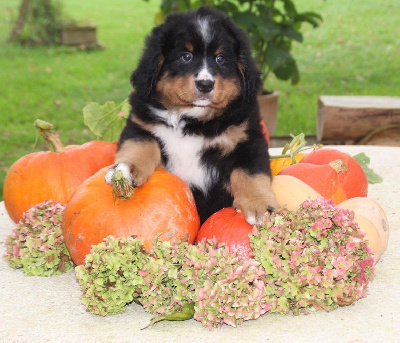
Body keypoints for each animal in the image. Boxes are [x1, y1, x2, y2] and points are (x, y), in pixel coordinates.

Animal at [106, 6, 278, 226]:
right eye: (186, 56)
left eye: (221, 59)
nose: (205, 84)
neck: (192, 121)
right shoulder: (141, 125)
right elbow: (140, 146)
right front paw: (125, 169)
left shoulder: (248, 139)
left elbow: (250, 172)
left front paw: (260, 205)